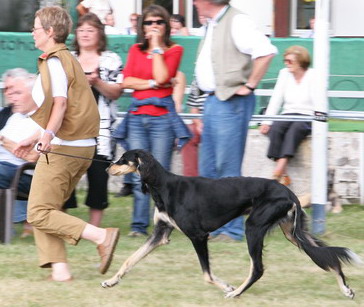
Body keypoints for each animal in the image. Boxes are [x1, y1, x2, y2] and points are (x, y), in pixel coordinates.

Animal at [101, 150, 360, 300]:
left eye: (123, 159)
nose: (106, 167)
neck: (164, 186)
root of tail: (289, 193)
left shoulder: (198, 235)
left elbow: (207, 274)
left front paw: (226, 286)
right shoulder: (161, 233)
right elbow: (130, 259)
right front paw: (111, 281)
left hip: (253, 227)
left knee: (258, 268)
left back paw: (236, 292)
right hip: (293, 234)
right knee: (327, 257)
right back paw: (346, 289)